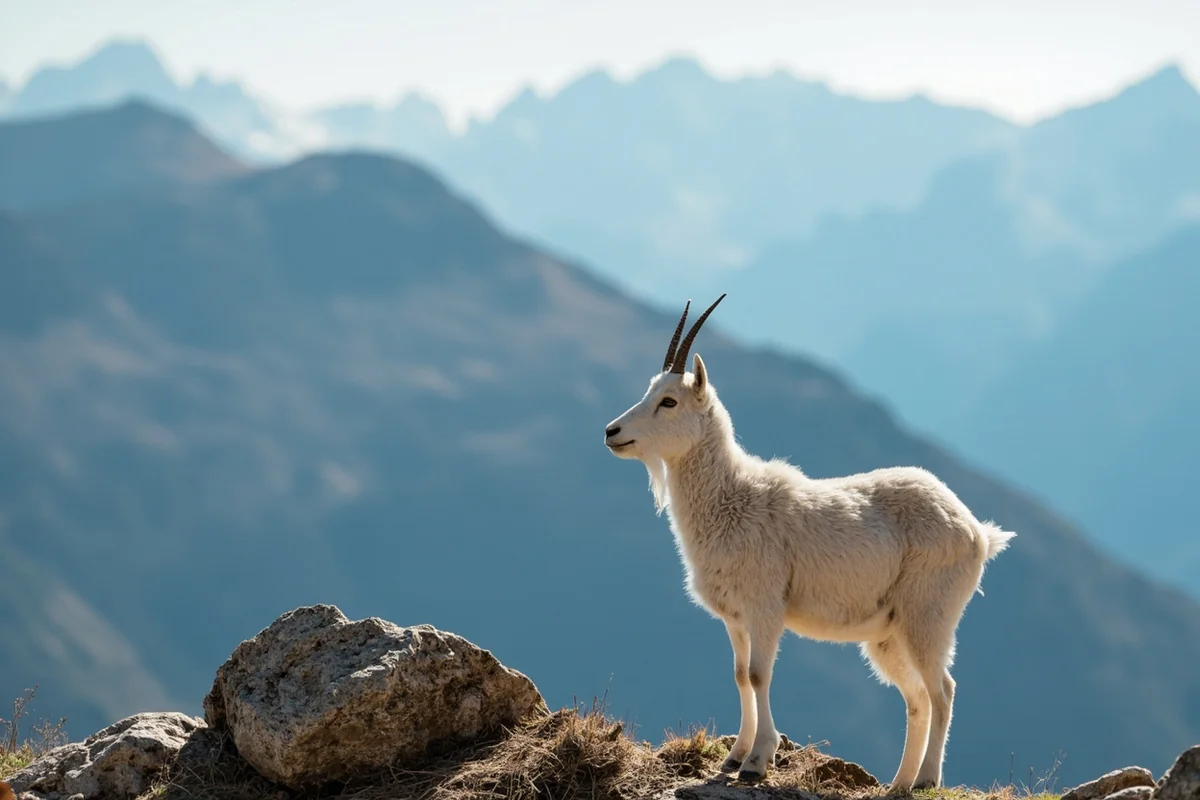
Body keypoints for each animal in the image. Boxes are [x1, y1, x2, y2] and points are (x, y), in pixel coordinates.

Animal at [603, 295, 1015, 788]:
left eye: (669, 401)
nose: (611, 432)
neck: (733, 498)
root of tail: (977, 532)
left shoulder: (765, 607)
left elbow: (759, 675)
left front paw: (757, 762)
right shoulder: (735, 617)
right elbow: (739, 675)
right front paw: (733, 758)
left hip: (928, 617)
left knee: (943, 690)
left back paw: (926, 780)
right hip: (890, 635)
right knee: (916, 697)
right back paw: (898, 783)